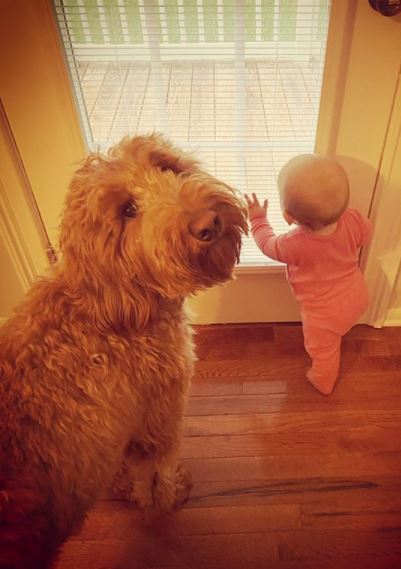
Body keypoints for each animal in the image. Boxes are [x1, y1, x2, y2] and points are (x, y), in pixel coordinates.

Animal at [0, 134, 247, 568]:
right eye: (128, 210)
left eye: (166, 167)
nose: (208, 223)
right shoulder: (157, 420)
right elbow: (156, 476)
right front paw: (167, 499)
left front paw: (125, 489)